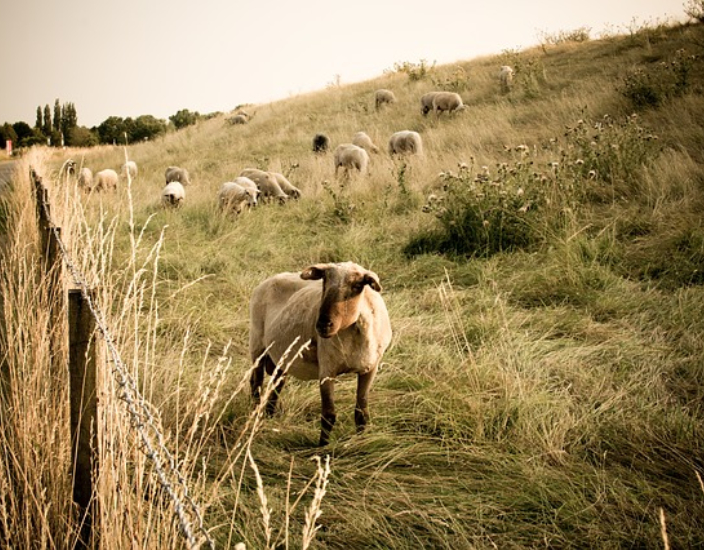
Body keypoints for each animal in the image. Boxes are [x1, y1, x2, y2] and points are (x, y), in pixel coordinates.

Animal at [249, 264, 394, 448]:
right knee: (256, 385)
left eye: (357, 286)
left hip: (281, 357)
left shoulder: (370, 369)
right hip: (257, 346)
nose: (323, 324)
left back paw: (269, 415)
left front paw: (361, 441)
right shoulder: (327, 370)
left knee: (276, 386)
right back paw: (256, 417)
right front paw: (322, 447)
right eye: (324, 280)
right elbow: (328, 415)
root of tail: (269, 279)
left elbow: (361, 412)